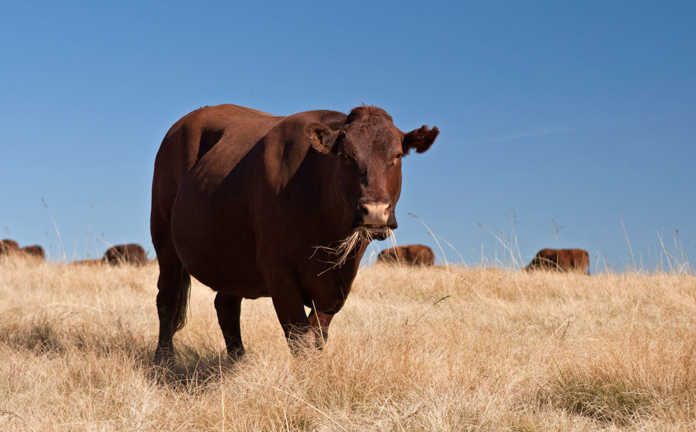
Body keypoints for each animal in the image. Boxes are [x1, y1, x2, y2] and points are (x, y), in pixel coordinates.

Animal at [151, 103, 438, 364]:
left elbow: (318, 334)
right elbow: (299, 338)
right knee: (167, 300)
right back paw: (163, 361)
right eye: (346, 156)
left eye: (397, 155)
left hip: (233, 260)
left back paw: (239, 362)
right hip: (165, 241)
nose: (375, 211)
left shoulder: (340, 281)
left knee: (226, 307)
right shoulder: (279, 273)